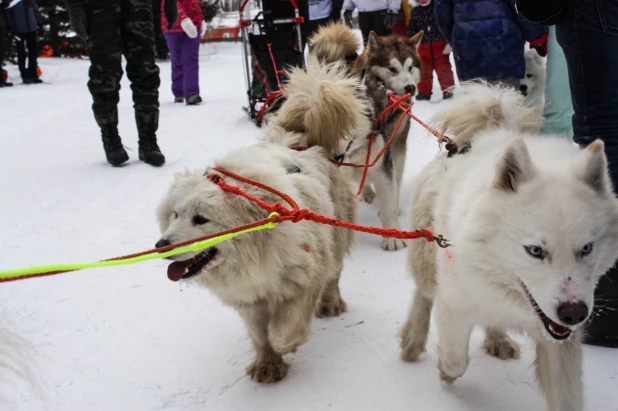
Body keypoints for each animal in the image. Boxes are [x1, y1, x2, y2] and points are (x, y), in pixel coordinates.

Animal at [398, 82, 616, 410]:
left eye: (587, 248)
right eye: (535, 251)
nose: (574, 314)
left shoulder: (558, 340)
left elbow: (566, 398)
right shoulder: (454, 305)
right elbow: (456, 360)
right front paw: (445, 371)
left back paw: (497, 339)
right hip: (428, 257)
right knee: (423, 295)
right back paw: (412, 339)